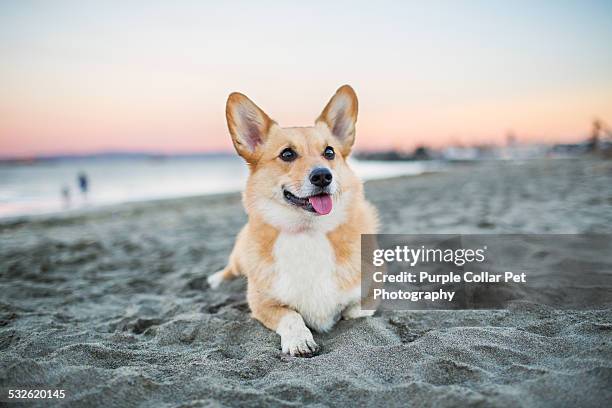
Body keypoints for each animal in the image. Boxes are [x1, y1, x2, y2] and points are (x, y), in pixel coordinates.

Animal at [207, 84, 378, 356]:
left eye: (329, 152)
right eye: (287, 154)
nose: (323, 176)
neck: (308, 232)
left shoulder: (372, 287)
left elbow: (356, 311)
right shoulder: (261, 302)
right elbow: (290, 315)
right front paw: (299, 340)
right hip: (240, 257)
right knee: (231, 268)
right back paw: (216, 279)